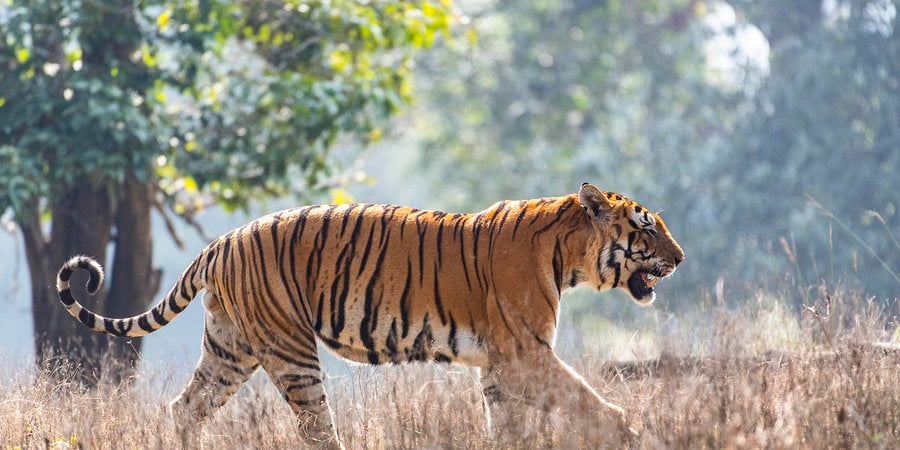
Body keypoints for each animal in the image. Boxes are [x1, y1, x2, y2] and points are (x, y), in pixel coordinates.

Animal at [56, 182, 684, 447]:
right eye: (647, 227)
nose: (680, 258)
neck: (568, 254)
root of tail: (223, 239)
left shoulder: (500, 367)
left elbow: (510, 427)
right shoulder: (525, 353)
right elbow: (586, 399)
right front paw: (631, 432)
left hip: (229, 349)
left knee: (184, 408)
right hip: (290, 352)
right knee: (316, 429)